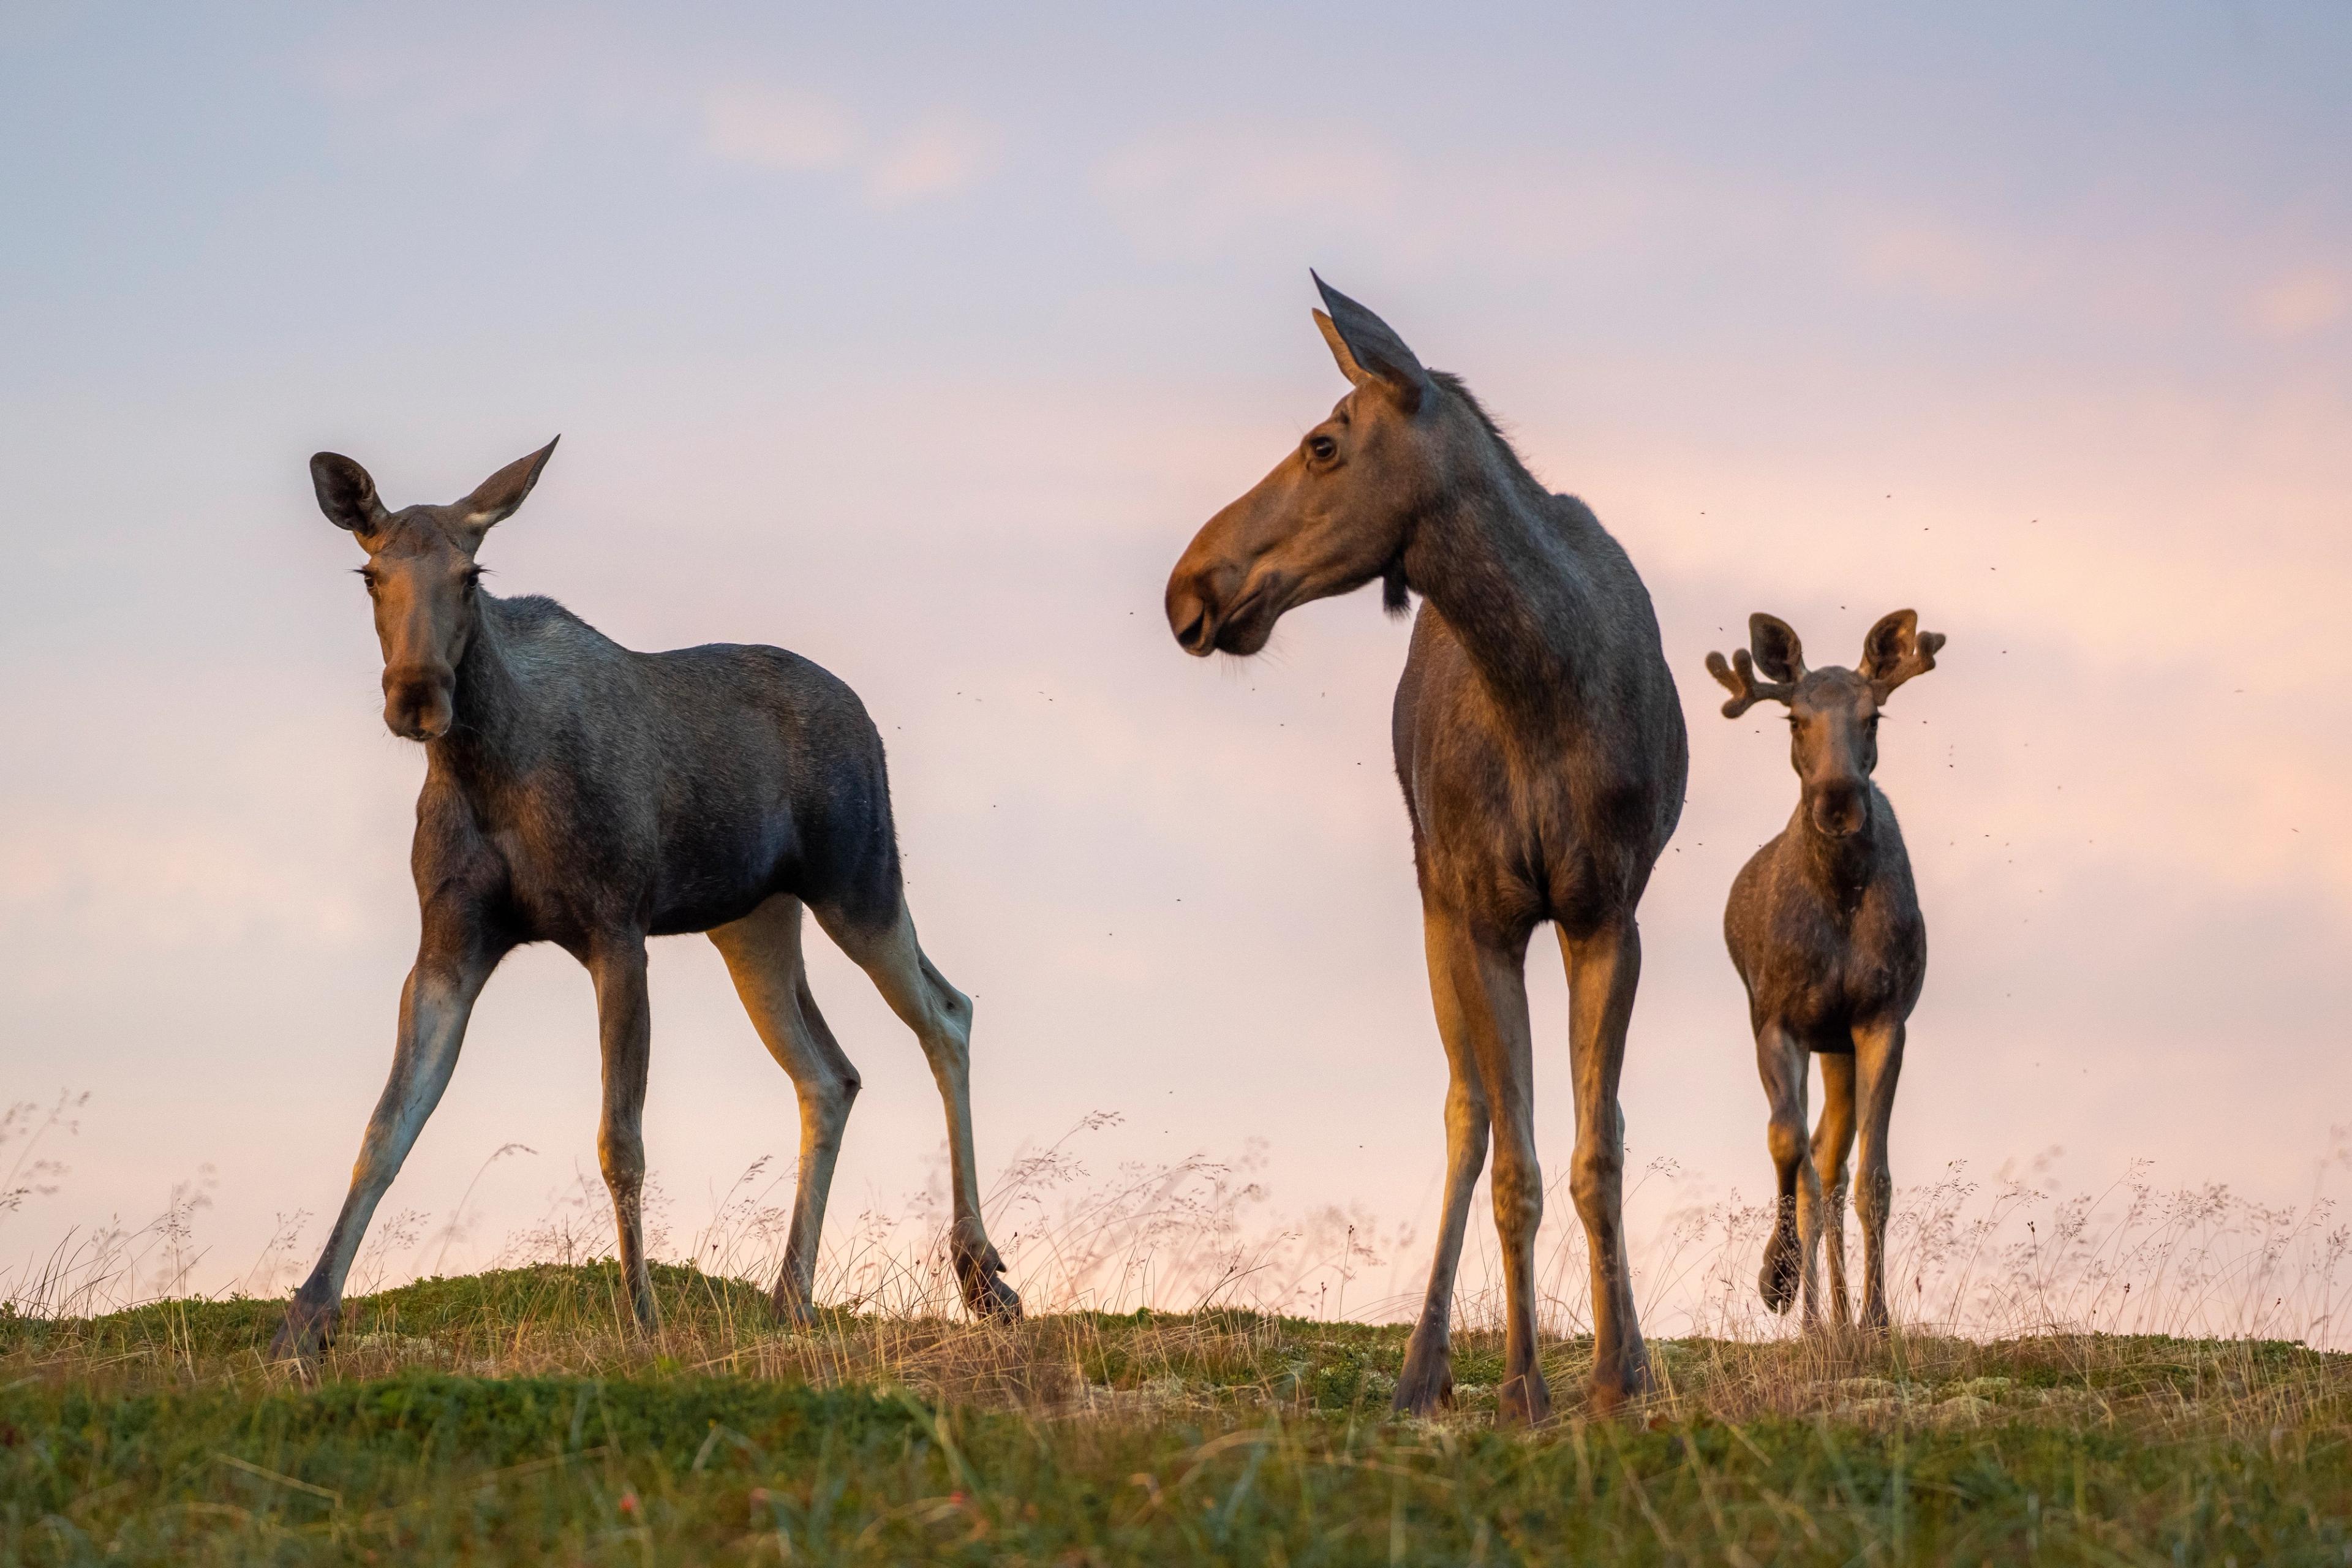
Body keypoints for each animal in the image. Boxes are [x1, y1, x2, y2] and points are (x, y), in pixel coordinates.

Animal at [269, 438, 1020, 1363]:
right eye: (372, 575)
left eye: (471, 575)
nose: (417, 696)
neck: (485, 770)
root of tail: (866, 717)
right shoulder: (448, 944)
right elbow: (385, 1129)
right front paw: (304, 1320)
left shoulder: (616, 929)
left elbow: (619, 1139)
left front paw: (643, 1319)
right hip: (753, 922)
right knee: (831, 1073)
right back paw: (793, 1297)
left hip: (861, 882)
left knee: (947, 1015)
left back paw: (982, 1276)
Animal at [1165, 276, 1689, 1421]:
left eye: (1323, 443)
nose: (1187, 588)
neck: (1540, 687)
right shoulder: (1484, 913)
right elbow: (1514, 1161)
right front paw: (1524, 1385)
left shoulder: (1606, 911)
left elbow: (1598, 1151)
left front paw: (1619, 1376)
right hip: (1436, 908)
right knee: (1470, 1114)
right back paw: (1423, 1368)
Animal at [1706, 610, 1943, 1331]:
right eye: (1794, 718)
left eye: (1873, 717)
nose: (1839, 801)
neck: (1838, 896)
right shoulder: (1777, 1020)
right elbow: (1789, 1148)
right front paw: (1777, 1281)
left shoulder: (1882, 1018)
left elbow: (1872, 1179)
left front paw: (1876, 1317)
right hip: (1813, 1035)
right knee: (1814, 1160)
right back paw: (1814, 1312)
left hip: (1839, 1044)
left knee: (1835, 1162)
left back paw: (1838, 1313)